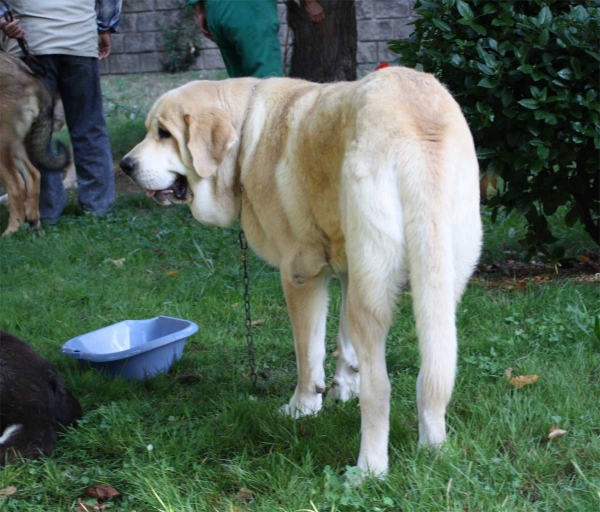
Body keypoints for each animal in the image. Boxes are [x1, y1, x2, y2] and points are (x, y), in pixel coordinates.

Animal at [0, 53, 70, 235]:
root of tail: (33, 79)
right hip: (15, 145)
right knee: (33, 175)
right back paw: (33, 221)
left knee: (17, 186)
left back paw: (12, 229)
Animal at [122, 67, 482, 476]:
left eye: (164, 133)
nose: (125, 165)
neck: (245, 135)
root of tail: (420, 122)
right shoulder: (347, 269)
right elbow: (342, 342)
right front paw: (343, 386)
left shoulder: (301, 275)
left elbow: (308, 355)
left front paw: (303, 407)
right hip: (440, 280)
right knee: (434, 372)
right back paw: (433, 448)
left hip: (373, 293)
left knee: (380, 389)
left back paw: (368, 471)